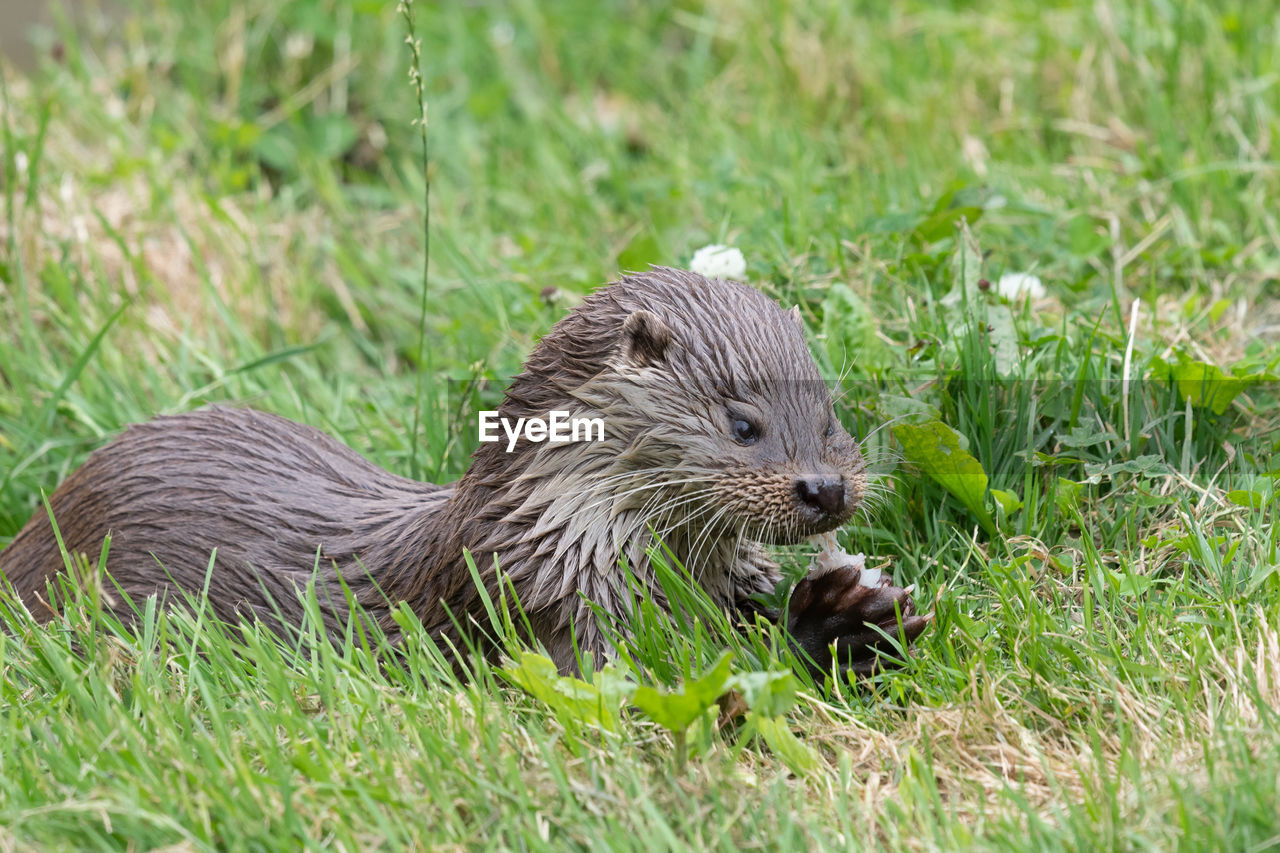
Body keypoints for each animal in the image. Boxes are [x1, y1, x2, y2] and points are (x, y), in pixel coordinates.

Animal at [0, 268, 926, 676]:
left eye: (831, 415)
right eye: (743, 424)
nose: (827, 488)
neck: (557, 534)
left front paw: (857, 614)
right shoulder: (546, 610)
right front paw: (822, 622)